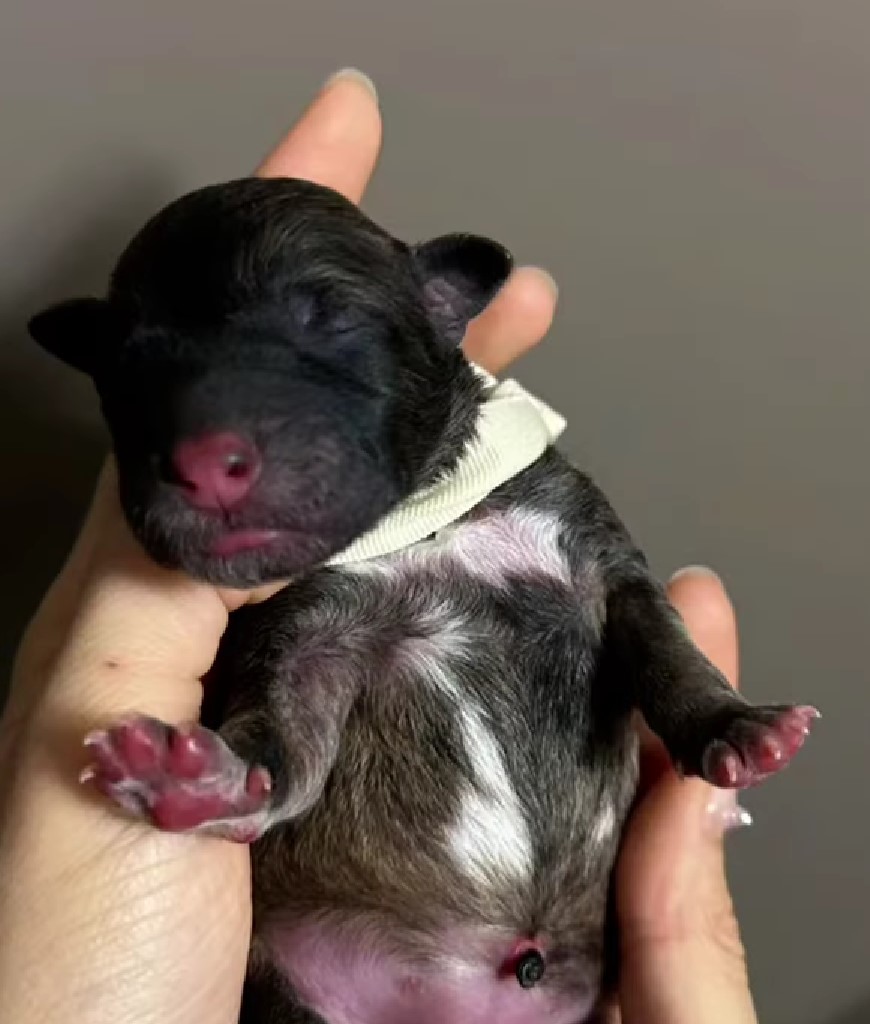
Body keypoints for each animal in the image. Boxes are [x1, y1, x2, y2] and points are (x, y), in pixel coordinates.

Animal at [27, 178, 814, 1024]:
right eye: (124, 371)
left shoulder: (599, 559)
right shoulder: (309, 634)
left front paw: (740, 728)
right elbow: (286, 735)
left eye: (331, 316)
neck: (425, 522)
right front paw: (202, 779)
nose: (204, 464)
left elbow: (666, 646)